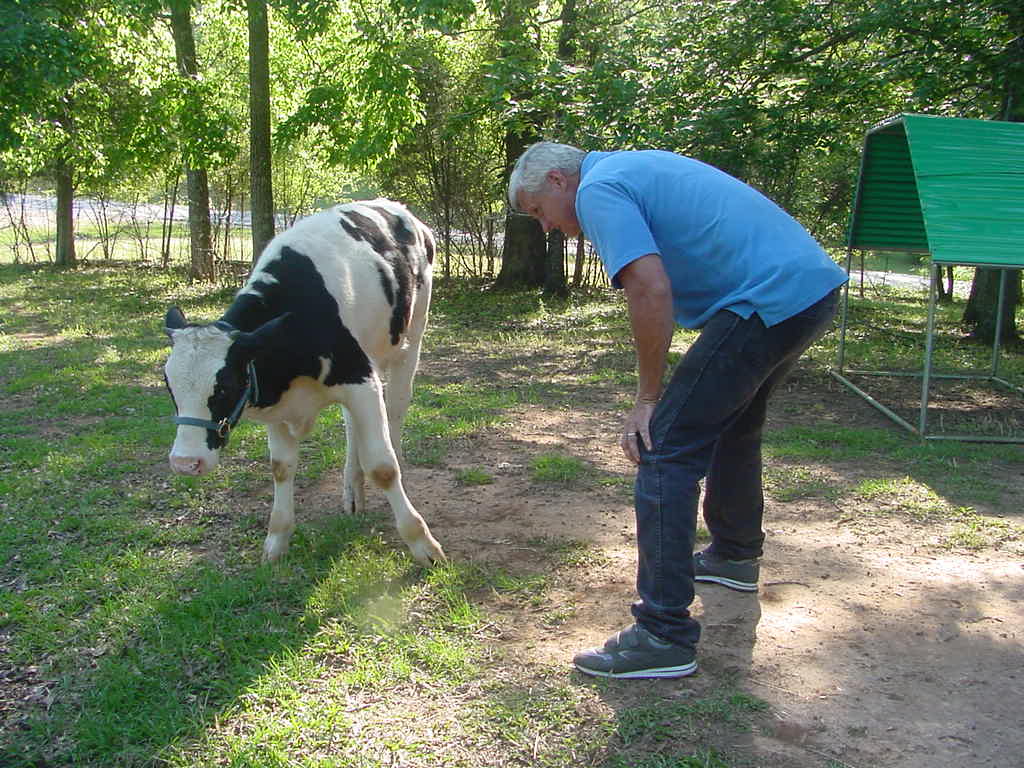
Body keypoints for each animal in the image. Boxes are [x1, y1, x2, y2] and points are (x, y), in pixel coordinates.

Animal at [162, 199, 445, 567]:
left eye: (225, 385)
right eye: (170, 386)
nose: (185, 463)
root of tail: (395, 207)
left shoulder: (358, 377)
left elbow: (383, 467)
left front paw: (422, 543)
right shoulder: (275, 399)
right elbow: (281, 468)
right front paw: (276, 540)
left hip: (410, 339)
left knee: (395, 410)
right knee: (352, 427)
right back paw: (352, 491)